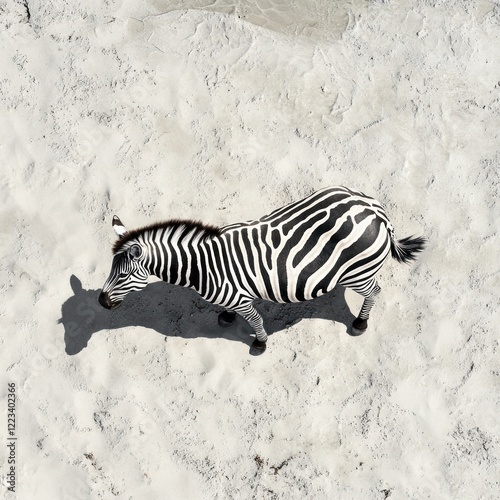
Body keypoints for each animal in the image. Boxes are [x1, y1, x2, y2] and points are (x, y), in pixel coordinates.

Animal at [98, 186, 426, 354]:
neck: (203, 265)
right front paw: (227, 317)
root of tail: (376, 211)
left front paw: (260, 342)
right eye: (110, 269)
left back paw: (360, 323)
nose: (100, 302)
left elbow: (255, 319)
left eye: (123, 275)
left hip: (359, 273)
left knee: (375, 291)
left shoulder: (241, 297)